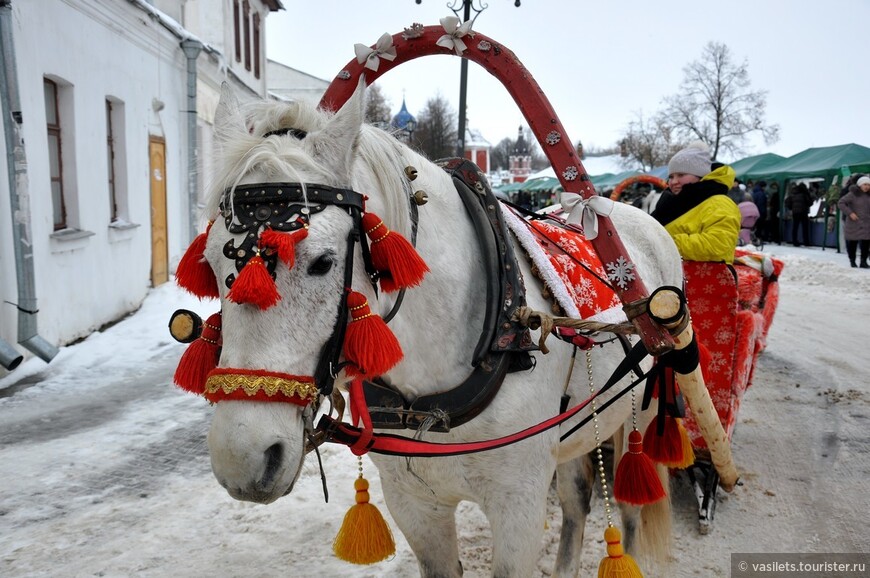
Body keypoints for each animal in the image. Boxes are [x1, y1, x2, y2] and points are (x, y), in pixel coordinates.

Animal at [199, 82, 688, 576]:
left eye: (323, 262)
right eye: (210, 263)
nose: (242, 459)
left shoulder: (519, 504)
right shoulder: (414, 503)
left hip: (641, 408)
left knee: (630, 502)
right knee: (576, 498)